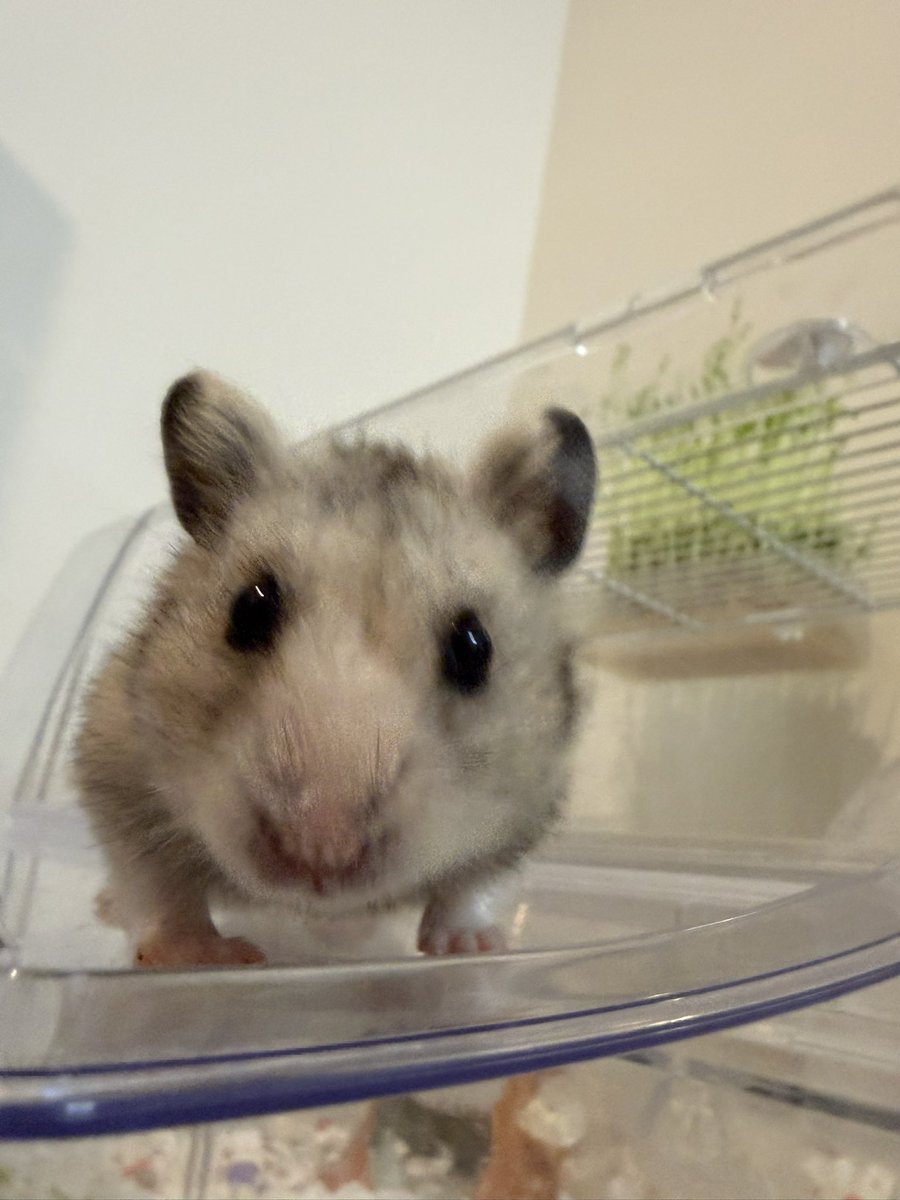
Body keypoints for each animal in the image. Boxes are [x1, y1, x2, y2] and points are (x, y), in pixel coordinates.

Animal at [74, 371, 596, 967]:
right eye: (249, 610)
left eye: (474, 647)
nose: (321, 850)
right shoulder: (114, 764)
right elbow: (157, 884)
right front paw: (210, 957)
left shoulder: (528, 807)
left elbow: (472, 887)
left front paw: (470, 949)